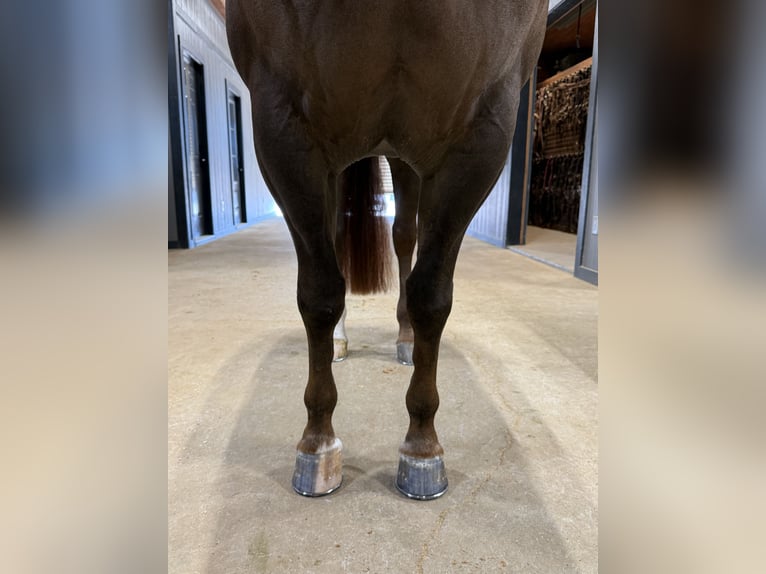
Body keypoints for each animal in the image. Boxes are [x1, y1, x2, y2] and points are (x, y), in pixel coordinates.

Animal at [227, 0, 547, 499]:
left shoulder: (483, 132)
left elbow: (431, 297)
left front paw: (422, 448)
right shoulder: (282, 129)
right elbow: (318, 296)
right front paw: (317, 444)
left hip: (403, 154)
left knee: (403, 238)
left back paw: (405, 339)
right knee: (338, 240)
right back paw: (339, 341)